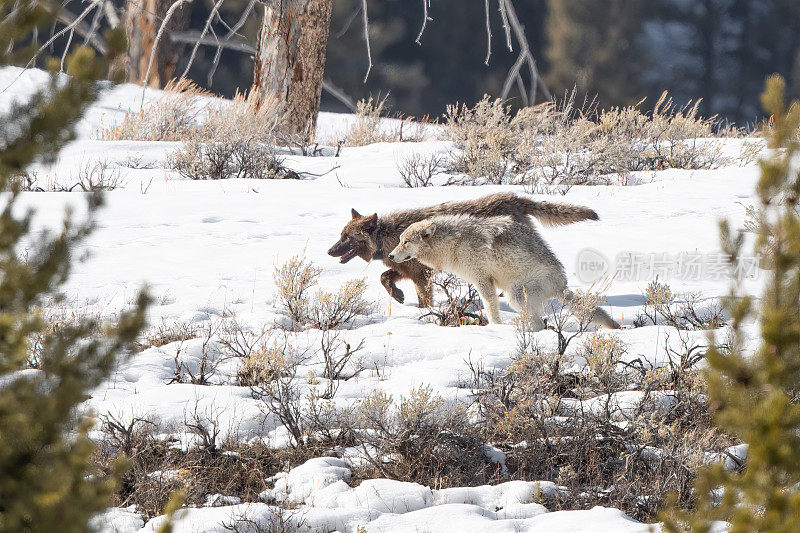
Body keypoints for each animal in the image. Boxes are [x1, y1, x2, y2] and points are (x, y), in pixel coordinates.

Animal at [324, 193, 592, 306]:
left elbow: (424, 301)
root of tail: (514, 197)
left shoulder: (421, 275)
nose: (328, 251)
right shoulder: (406, 270)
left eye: (347, 238)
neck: (386, 237)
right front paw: (397, 295)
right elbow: (384, 277)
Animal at [388, 213, 620, 328]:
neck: (454, 242)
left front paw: (495, 326)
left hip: (515, 294)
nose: (390, 256)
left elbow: (490, 306)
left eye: (406, 242)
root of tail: (561, 284)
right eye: (399, 241)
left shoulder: (482, 279)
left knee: (539, 323)